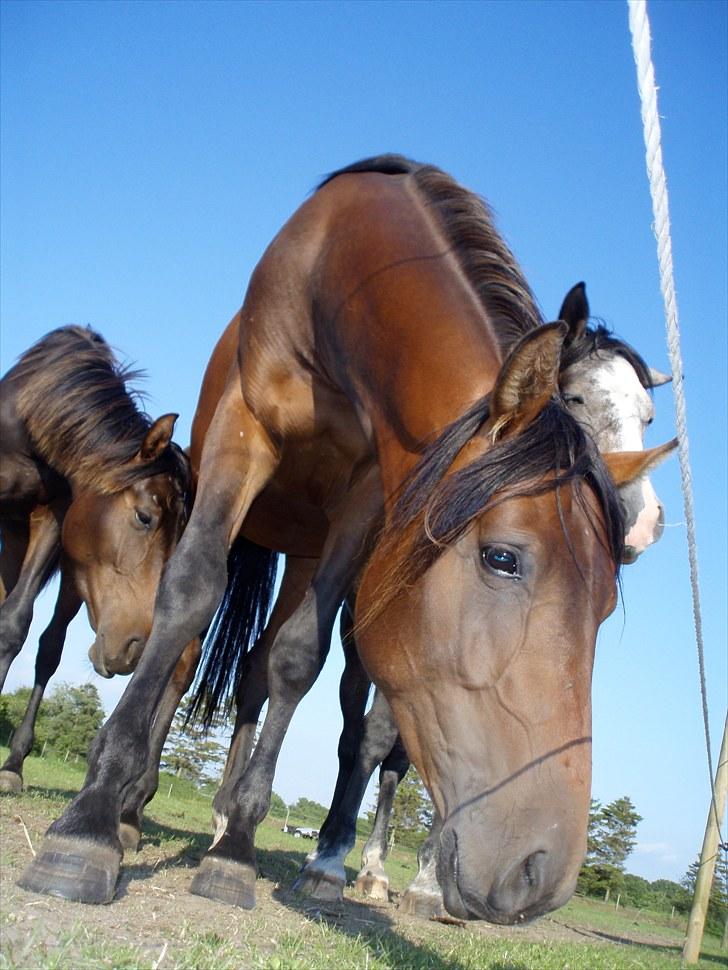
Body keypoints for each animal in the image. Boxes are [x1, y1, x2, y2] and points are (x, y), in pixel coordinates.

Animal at [0, 322, 191, 792]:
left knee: (48, 647)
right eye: (144, 516)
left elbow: (15, 624)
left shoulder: (53, 518)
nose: (136, 648)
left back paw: (14, 763)